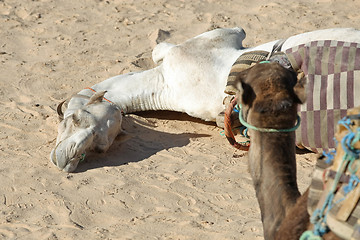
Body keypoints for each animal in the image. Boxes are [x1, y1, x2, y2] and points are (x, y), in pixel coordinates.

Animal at [50, 27, 360, 172]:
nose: (68, 159)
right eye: (99, 148)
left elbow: (159, 49)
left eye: (77, 118)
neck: (164, 83)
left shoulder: (216, 38)